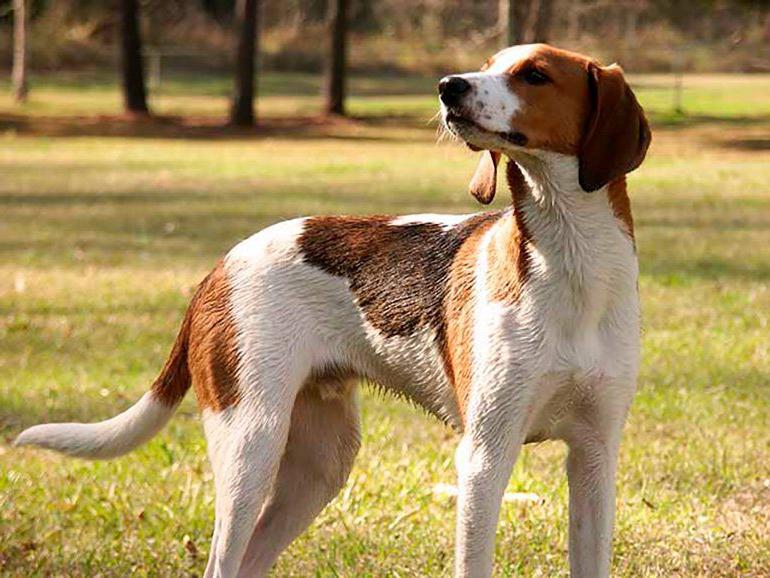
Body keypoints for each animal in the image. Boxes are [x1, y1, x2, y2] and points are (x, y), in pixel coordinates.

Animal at [16, 46, 648, 576]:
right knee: (223, 561)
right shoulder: (485, 457)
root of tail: (218, 268)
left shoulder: (594, 458)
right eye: (489, 63)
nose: (448, 86)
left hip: (319, 464)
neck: (572, 264)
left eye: (534, 74)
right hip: (251, 447)